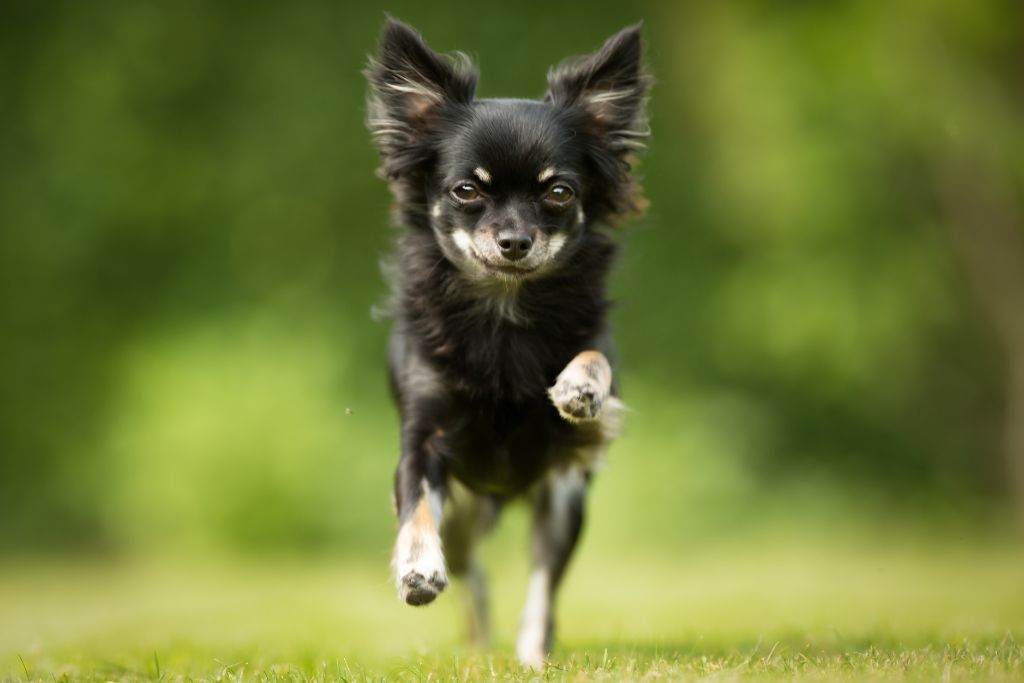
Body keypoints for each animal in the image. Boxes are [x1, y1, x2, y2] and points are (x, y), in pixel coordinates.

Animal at [366, 17, 647, 667]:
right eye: (467, 190)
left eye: (559, 193)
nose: (515, 241)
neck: (504, 309)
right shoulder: (424, 442)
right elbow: (415, 506)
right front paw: (417, 567)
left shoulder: (576, 448)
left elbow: (593, 357)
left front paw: (577, 386)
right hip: (468, 513)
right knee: (473, 574)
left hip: (562, 505)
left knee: (542, 587)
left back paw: (531, 654)